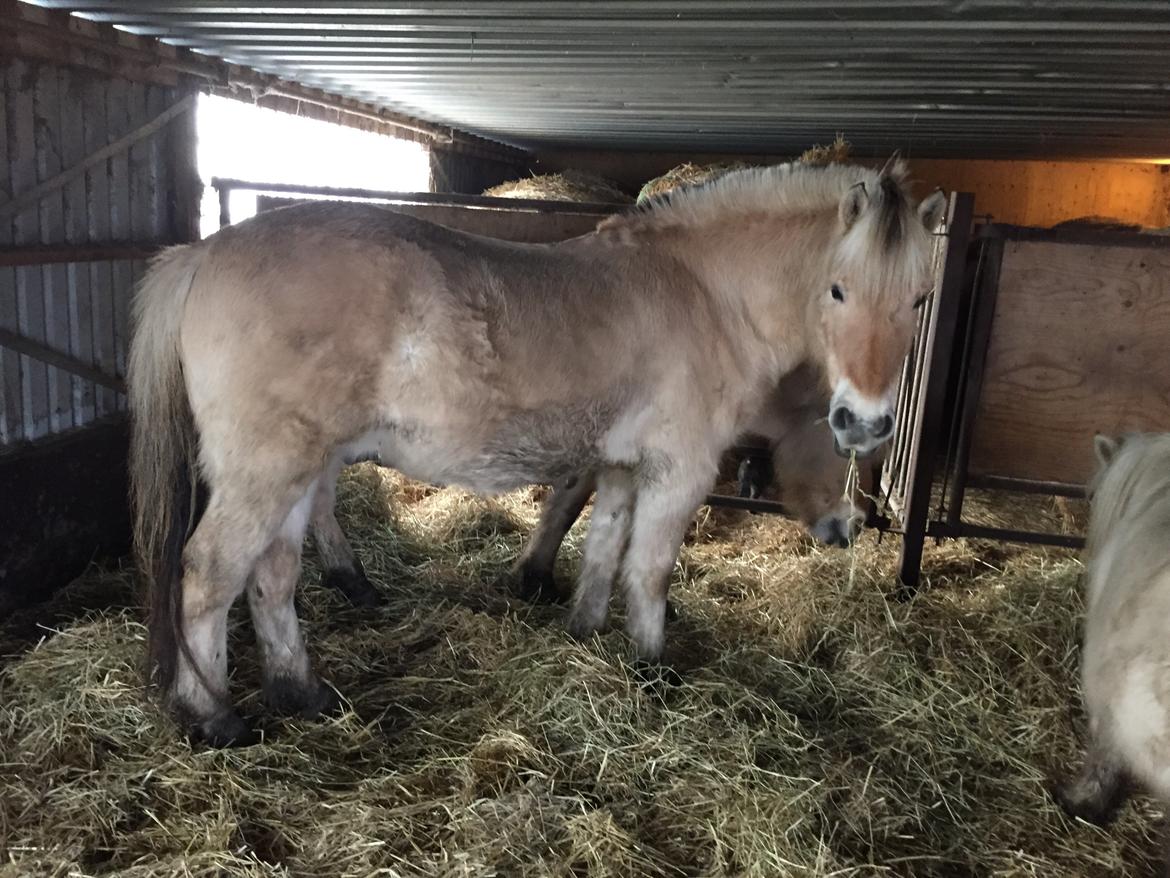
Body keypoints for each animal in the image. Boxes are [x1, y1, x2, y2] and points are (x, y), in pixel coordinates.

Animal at [130, 158, 940, 744]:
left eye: (920, 299)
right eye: (837, 290)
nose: (865, 423)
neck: (705, 294)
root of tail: (202, 253)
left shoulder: (620, 467)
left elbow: (603, 549)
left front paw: (583, 628)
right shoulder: (678, 473)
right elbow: (649, 571)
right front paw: (651, 668)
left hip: (296, 475)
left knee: (273, 578)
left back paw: (301, 692)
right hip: (268, 472)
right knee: (208, 574)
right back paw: (214, 717)